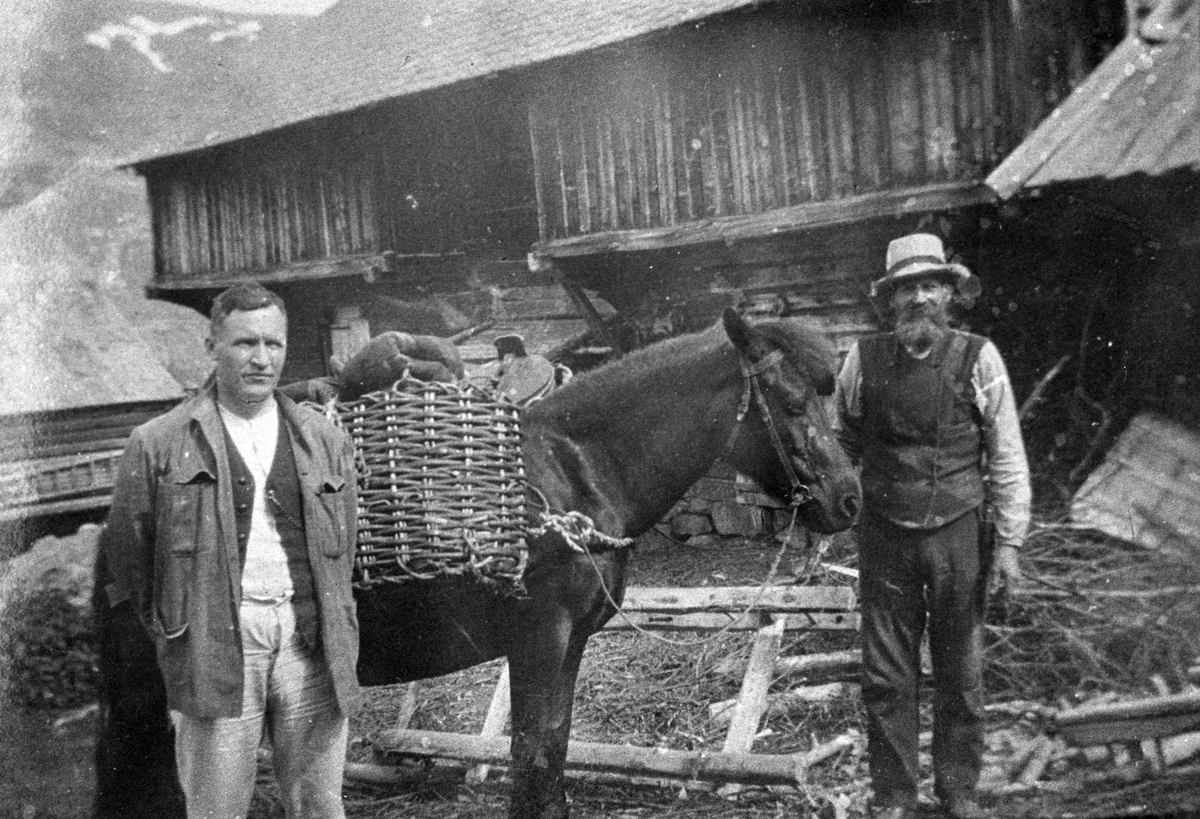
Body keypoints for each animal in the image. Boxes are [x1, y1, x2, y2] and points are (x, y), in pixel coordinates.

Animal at [96, 306, 864, 816]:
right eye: (791, 399)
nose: (849, 498)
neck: (572, 471)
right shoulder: (537, 640)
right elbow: (529, 755)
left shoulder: (569, 644)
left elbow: (552, 750)